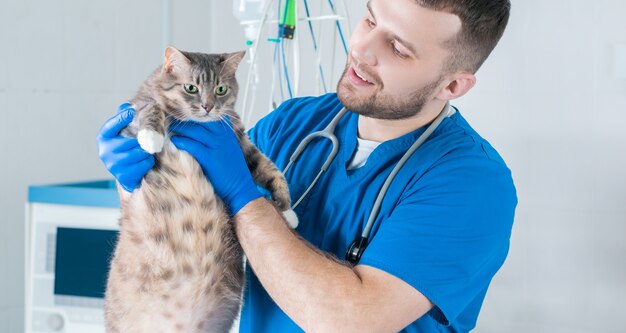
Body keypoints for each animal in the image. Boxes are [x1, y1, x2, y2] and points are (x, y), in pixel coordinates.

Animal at [103, 46, 296, 332]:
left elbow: (269, 169)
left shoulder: (239, 144)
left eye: (220, 90)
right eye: (191, 88)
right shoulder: (132, 111)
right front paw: (152, 136)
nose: (207, 106)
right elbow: (150, 106)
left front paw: (286, 209)